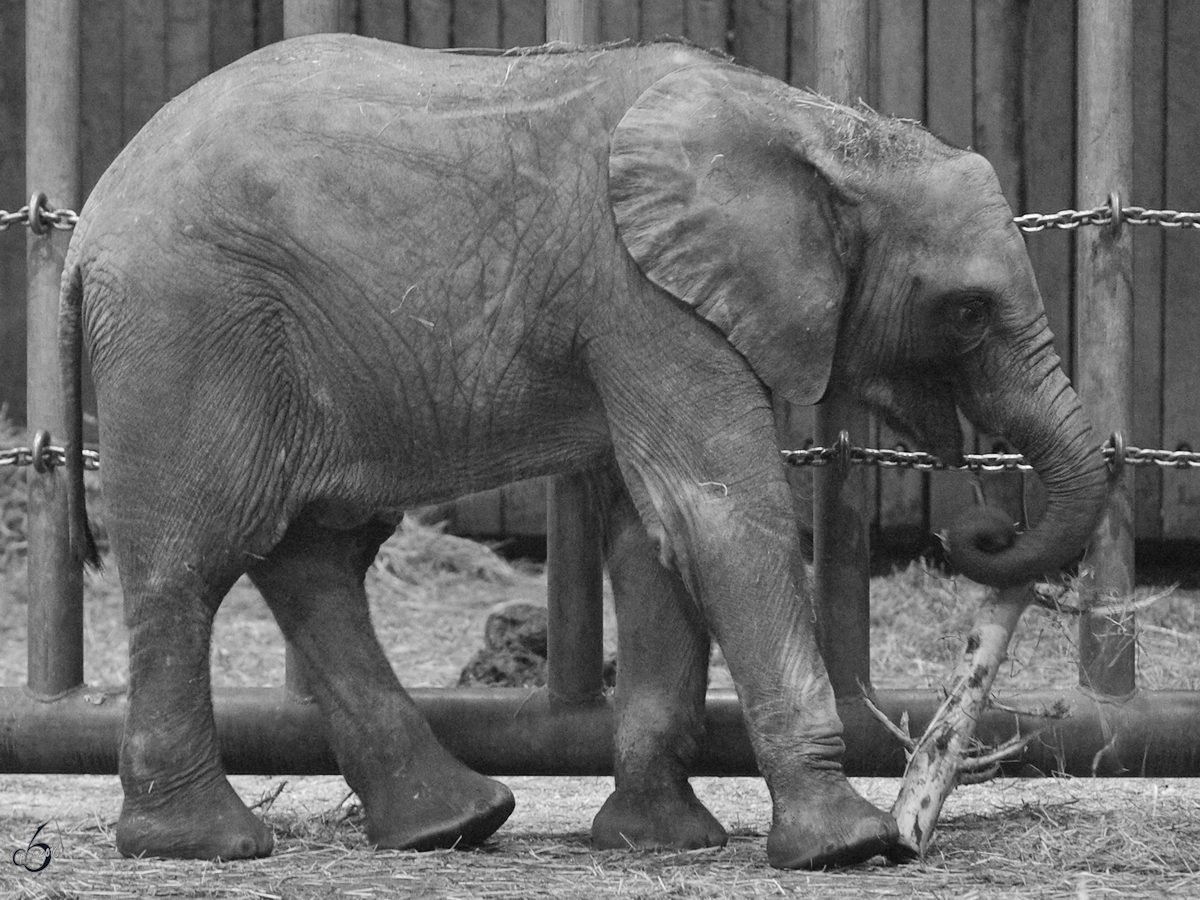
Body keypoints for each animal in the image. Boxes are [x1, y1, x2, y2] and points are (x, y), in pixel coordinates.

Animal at [56, 33, 1104, 868]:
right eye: (966, 312)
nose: (981, 527)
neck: (821, 130)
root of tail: (87, 223)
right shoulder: (640, 293)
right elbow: (719, 513)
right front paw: (849, 846)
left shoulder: (644, 307)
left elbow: (652, 536)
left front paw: (662, 842)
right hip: (188, 322)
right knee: (194, 562)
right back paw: (208, 844)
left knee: (310, 554)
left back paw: (454, 824)